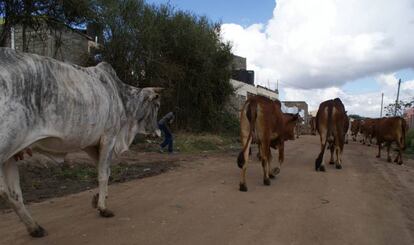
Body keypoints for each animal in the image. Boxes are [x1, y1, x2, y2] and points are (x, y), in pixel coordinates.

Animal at [0, 47, 162, 237]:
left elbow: (105, 170)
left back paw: (35, 228)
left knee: (14, 194)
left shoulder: (91, 144)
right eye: (157, 106)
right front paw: (103, 207)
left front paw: (98, 198)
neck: (121, 97)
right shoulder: (109, 137)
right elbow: (103, 174)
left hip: (10, 155)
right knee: (6, 191)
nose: (158, 132)